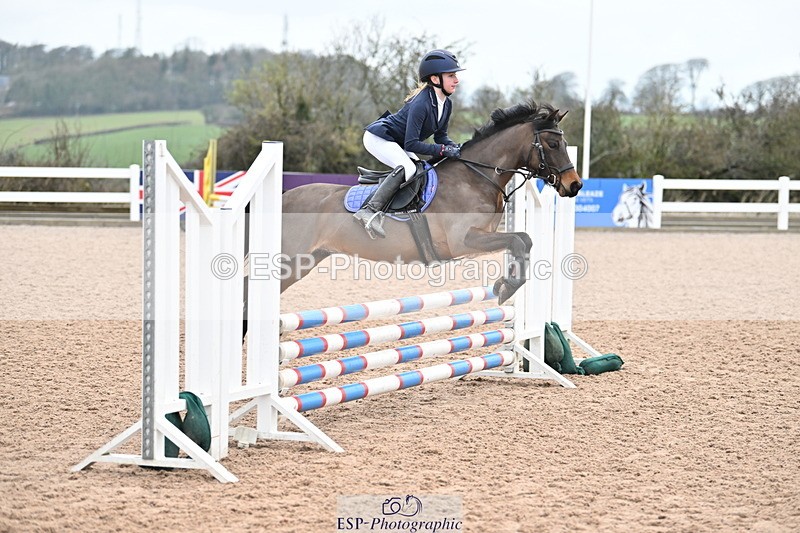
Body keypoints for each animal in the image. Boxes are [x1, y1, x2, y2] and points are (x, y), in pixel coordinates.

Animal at [254, 100, 581, 323]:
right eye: (553, 143)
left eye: (565, 142)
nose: (575, 185)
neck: (476, 176)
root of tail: (285, 198)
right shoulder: (463, 240)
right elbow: (518, 239)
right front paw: (506, 287)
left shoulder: (486, 234)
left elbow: (524, 240)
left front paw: (506, 285)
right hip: (289, 261)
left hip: (307, 260)